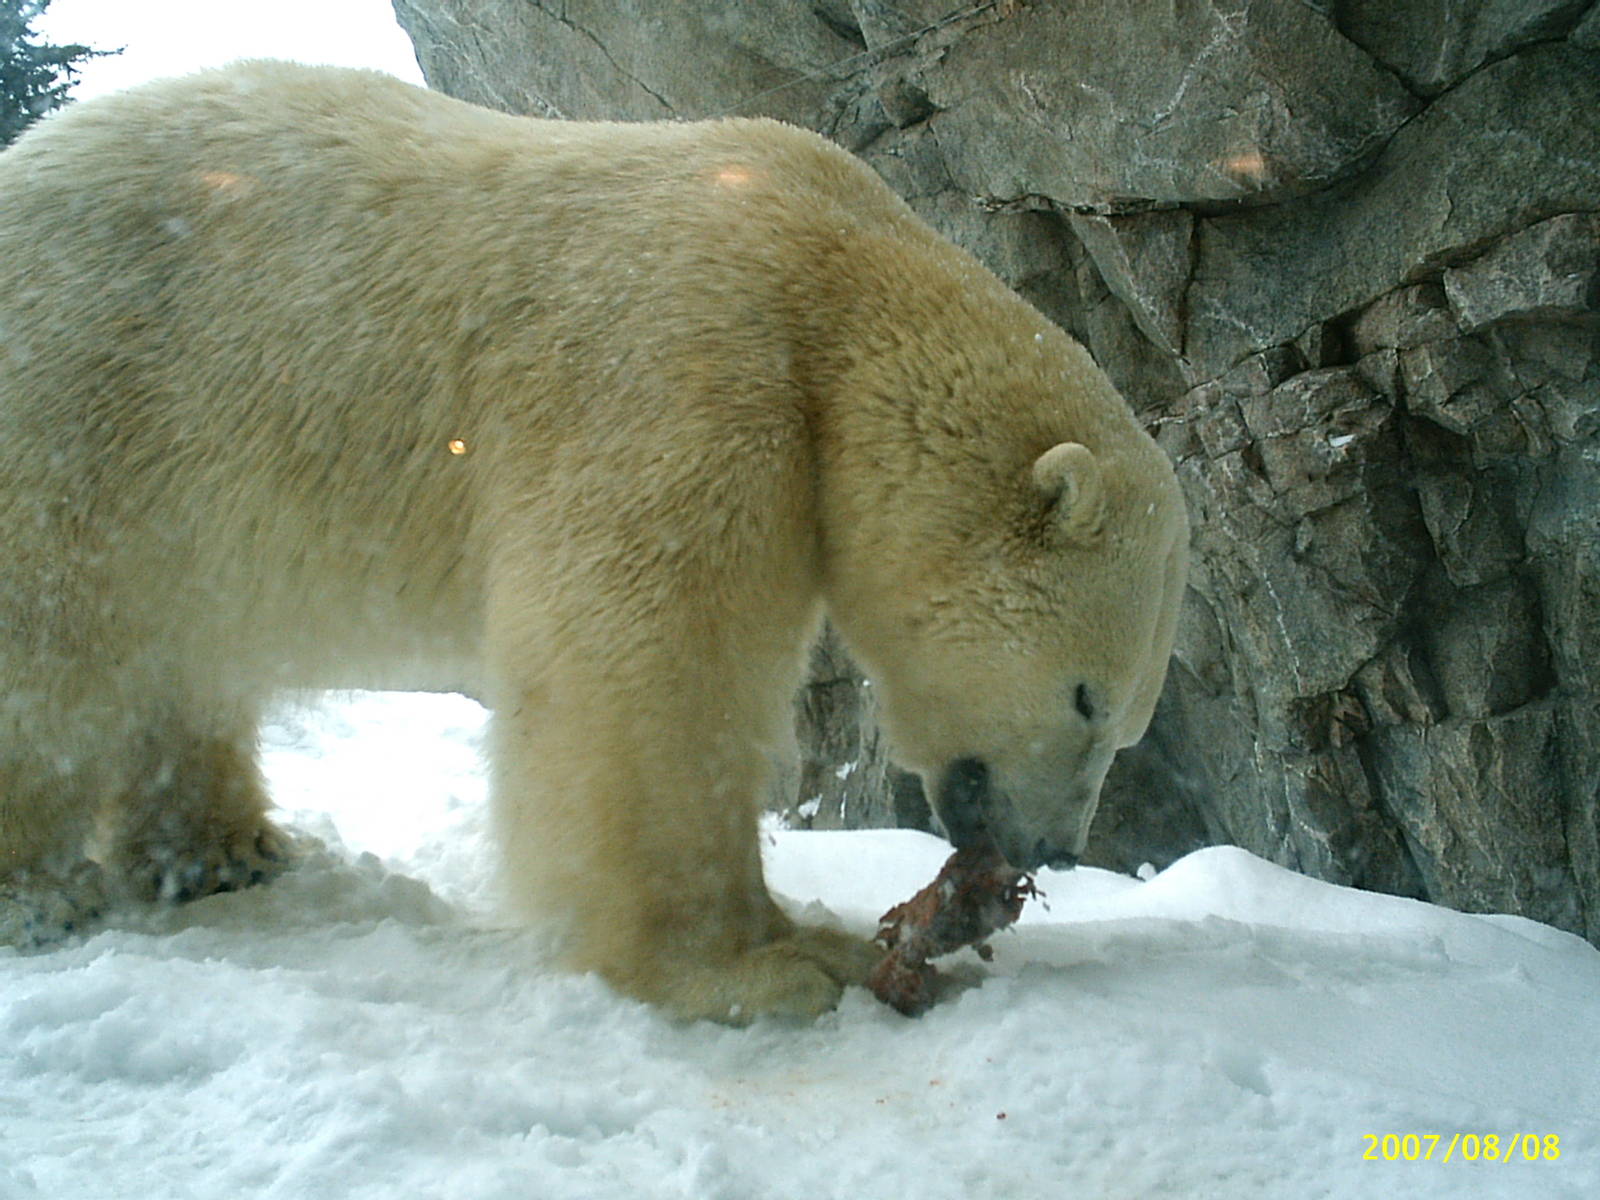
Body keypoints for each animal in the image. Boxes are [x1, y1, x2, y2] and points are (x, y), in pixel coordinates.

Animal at [0, 61, 1188, 1022]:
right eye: (1086, 698)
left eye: (1128, 723)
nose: (1053, 849)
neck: (831, 271)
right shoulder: (689, 364)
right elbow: (649, 670)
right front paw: (752, 969)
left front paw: (823, 935)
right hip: (85, 394)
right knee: (52, 652)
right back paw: (46, 893)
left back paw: (220, 849)